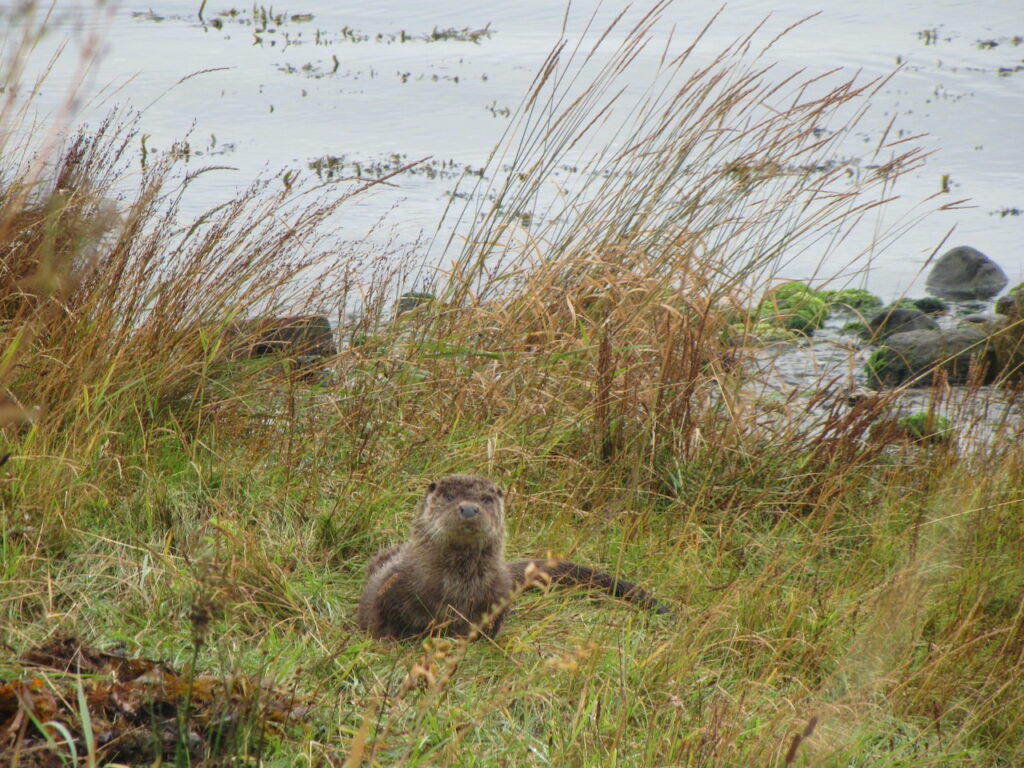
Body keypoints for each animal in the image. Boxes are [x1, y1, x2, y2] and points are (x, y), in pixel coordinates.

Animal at [357, 474, 668, 640]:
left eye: (486, 500)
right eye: (449, 497)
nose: (468, 508)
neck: (453, 590)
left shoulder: (496, 597)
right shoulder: (391, 585)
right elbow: (376, 617)